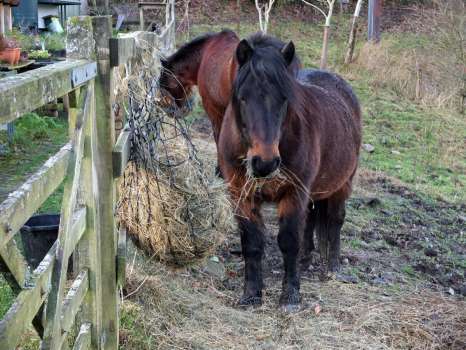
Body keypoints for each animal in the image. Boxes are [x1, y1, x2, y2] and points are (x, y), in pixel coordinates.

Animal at [217, 34, 362, 310]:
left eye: (284, 99)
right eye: (243, 97)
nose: (264, 162)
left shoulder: (294, 193)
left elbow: (288, 241)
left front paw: (291, 296)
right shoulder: (241, 195)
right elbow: (252, 243)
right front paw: (251, 295)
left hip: (343, 184)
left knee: (335, 220)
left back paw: (333, 268)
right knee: (312, 220)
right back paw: (306, 261)